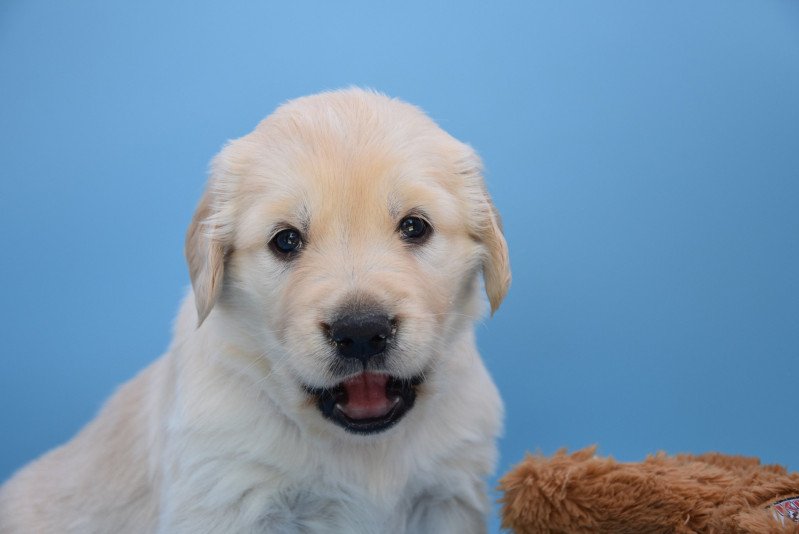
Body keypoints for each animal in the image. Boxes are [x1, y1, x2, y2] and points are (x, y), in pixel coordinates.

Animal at [0, 90, 510, 532]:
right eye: (285, 240)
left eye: (414, 227)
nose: (362, 332)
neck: (358, 448)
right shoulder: (228, 493)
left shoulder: (448, 493)